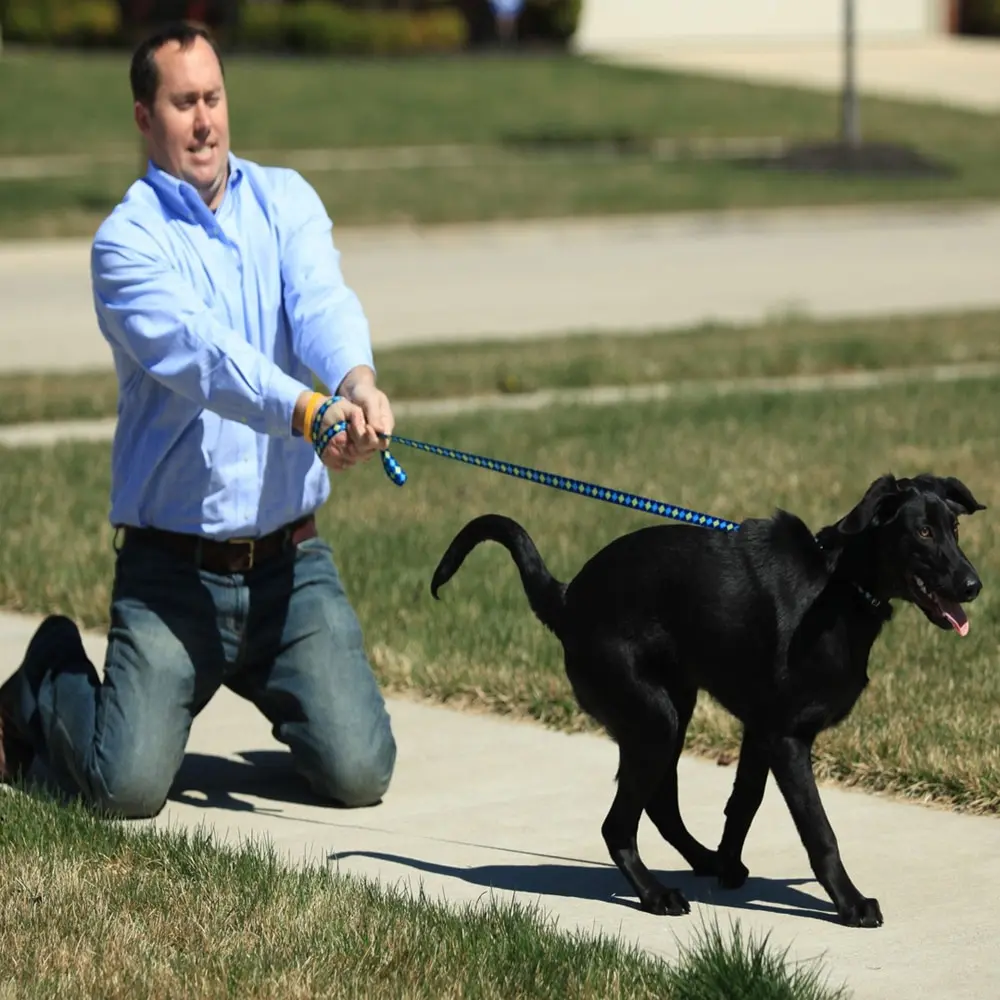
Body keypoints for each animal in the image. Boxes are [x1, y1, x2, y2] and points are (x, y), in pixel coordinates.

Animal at [430, 472, 984, 924]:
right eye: (923, 532)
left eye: (954, 530)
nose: (974, 585)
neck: (837, 584)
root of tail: (566, 599)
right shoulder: (787, 738)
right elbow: (819, 831)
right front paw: (849, 904)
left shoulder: (761, 730)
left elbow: (743, 803)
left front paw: (727, 865)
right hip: (654, 719)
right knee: (618, 825)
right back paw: (655, 895)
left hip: (672, 709)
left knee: (658, 806)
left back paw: (704, 861)